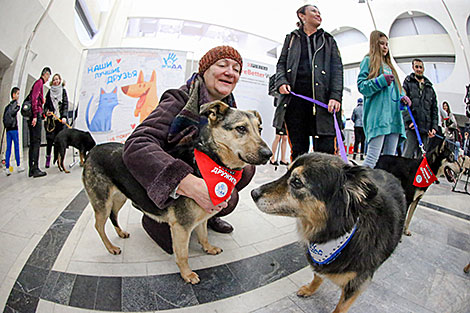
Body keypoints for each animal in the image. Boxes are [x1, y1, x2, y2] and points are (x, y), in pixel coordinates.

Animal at [252, 152, 406, 310]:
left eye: (297, 182)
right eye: (286, 172)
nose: (253, 193)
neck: (340, 233)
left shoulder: (356, 286)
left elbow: (340, 308)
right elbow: (317, 275)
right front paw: (310, 289)